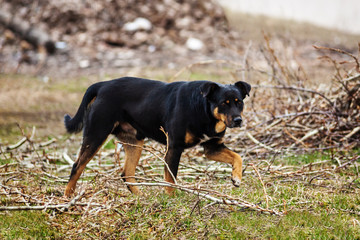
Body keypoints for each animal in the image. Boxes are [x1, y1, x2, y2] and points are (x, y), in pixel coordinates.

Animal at [64, 77, 250, 197]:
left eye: (239, 102)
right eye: (223, 103)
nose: (238, 120)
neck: (203, 110)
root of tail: (102, 85)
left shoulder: (212, 147)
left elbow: (238, 157)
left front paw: (236, 178)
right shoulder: (174, 148)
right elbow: (171, 179)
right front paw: (171, 200)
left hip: (134, 141)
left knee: (127, 173)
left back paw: (141, 197)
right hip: (96, 134)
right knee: (77, 166)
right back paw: (68, 197)